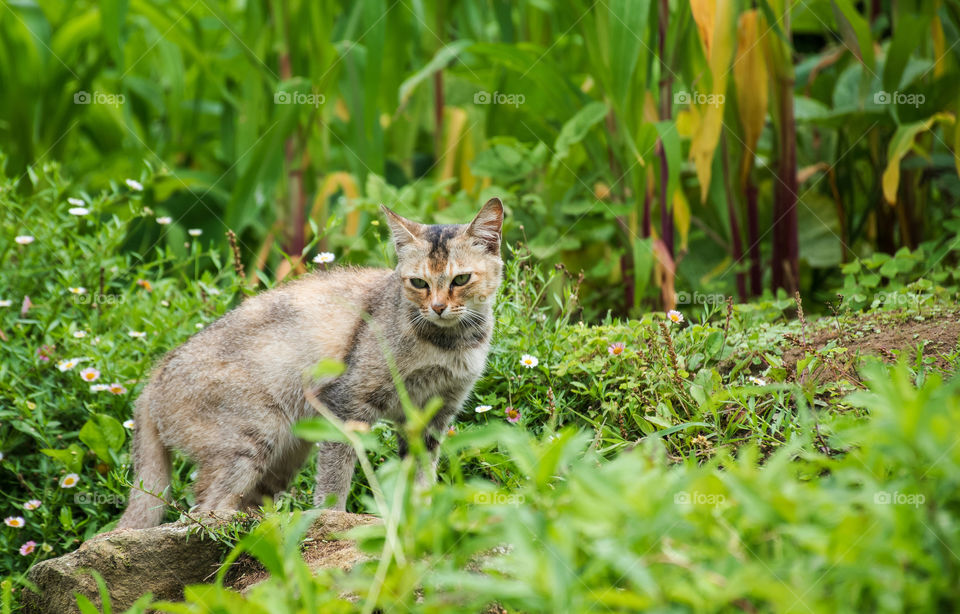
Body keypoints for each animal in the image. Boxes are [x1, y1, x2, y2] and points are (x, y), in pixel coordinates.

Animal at [117, 200, 506, 532]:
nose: (438, 307)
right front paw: (334, 518)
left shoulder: (430, 418)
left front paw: (421, 514)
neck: (447, 344)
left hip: (286, 454)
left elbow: (421, 477)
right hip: (252, 437)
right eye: (419, 283)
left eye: (460, 279)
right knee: (202, 511)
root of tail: (154, 377)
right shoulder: (346, 404)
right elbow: (336, 477)